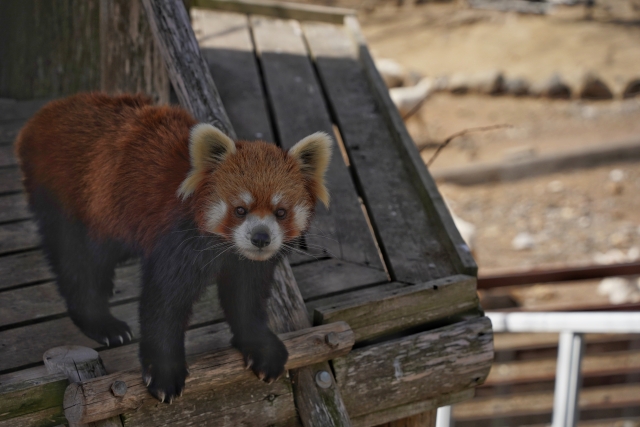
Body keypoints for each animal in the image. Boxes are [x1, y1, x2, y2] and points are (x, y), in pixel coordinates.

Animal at [15, 93, 332, 404]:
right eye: (240, 210)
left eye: (281, 212)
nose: (261, 238)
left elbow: (246, 298)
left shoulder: (246, 263)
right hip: (72, 195)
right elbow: (163, 304)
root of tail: (45, 115)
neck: (225, 247)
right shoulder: (177, 240)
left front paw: (261, 346)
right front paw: (164, 371)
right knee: (80, 260)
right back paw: (101, 323)